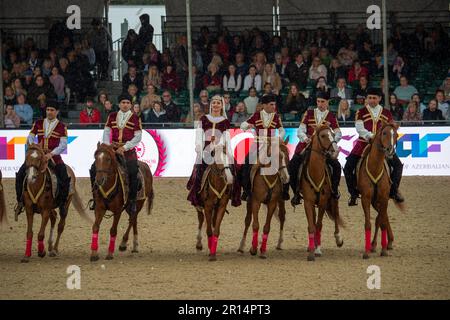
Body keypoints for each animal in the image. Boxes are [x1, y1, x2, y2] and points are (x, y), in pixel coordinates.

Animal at [298, 124, 344, 262]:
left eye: (333, 134)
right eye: (323, 136)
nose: (335, 152)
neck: (316, 173)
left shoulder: (323, 202)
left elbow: (319, 225)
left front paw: (317, 249)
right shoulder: (308, 202)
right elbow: (311, 225)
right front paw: (311, 251)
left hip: (333, 198)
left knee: (336, 215)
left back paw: (338, 238)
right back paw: (311, 245)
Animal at [356, 121, 406, 258]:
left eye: (396, 134)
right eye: (384, 133)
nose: (390, 151)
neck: (375, 168)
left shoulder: (383, 197)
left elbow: (382, 221)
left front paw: (383, 250)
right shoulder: (366, 199)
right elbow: (368, 223)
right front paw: (366, 251)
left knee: (382, 217)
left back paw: (385, 243)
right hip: (374, 201)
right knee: (382, 216)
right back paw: (376, 245)